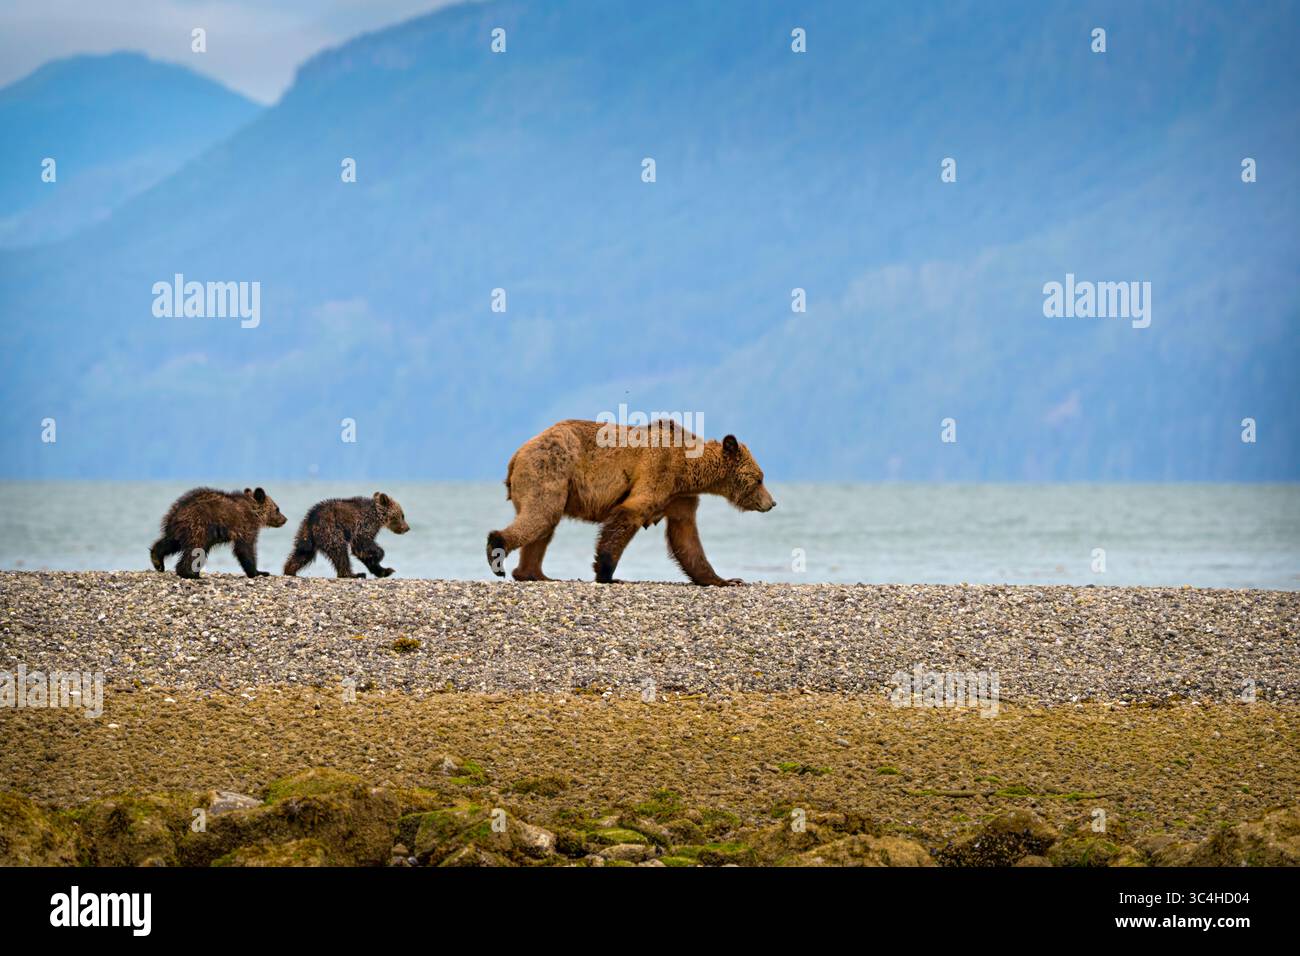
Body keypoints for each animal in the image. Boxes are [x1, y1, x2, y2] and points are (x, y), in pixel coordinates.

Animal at [150, 487, 288, 579]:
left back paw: (157, 561)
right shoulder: (245, 526)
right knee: (195, 549)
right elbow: (245, 548)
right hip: (199, 525)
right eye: (277, 509)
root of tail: (177, 511)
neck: (254, 512)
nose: (284, 519)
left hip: (178, 529)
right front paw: (259, 572)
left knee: (170, 542)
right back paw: (191, 574)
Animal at [486, 419, 775, 585]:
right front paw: (607, 573)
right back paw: (497, 551)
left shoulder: (679, 497)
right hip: (550, 467)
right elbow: (630, 513)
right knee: (542, 514)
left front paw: (726, 579)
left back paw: (534, 573)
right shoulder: (658, 470)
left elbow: (686, 537)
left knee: (544, 525)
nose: (771, 503)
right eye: (759, 478)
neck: (688, 468)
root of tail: (517, 453)